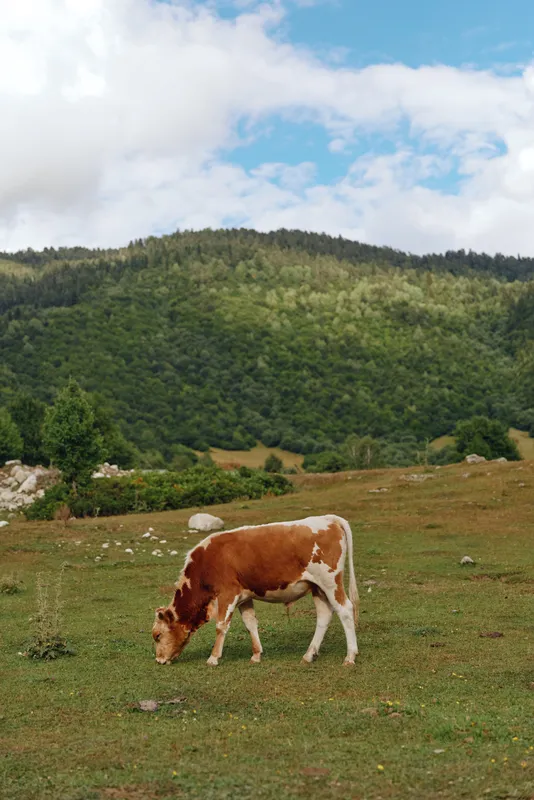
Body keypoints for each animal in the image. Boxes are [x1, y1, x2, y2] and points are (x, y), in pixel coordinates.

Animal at [152, 514, 360, 666]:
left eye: (157, 635)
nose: (159, 660)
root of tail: (329, 518)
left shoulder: (228, 593)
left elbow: (221, 625)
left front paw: (213, 658)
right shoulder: (244, 596)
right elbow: (250, 623)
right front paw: (256, 655)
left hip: (330, 581)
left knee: (345, 610)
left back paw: (350, 656)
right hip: (318, 587)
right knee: (324, 615)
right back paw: (309, 654)